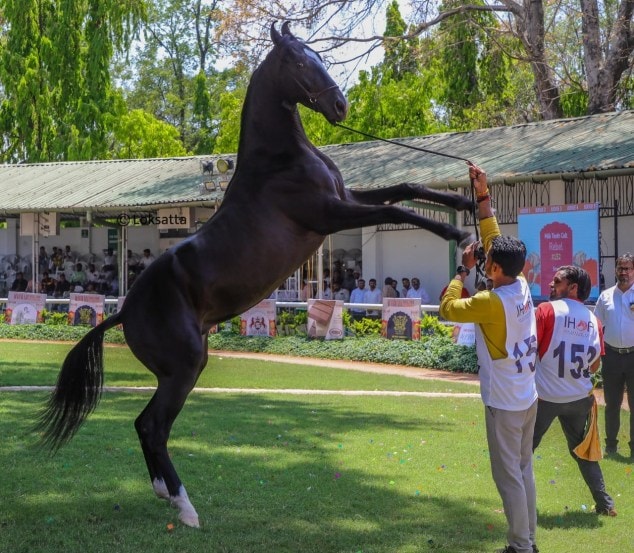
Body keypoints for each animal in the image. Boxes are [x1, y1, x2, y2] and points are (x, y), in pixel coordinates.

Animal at [38, 23, 474, 528]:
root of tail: (124, 310)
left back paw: (165, 493)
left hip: (182, 368)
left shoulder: (347, 199)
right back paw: (186, 507)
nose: (340, 106)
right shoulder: (329, 214)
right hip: (184, 368)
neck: (279, 161)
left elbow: (405, 188)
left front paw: (463, 202)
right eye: (298, 61)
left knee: (145, 425)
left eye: (317, 55)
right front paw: (459, 232)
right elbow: (396, 208)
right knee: (153, 426)